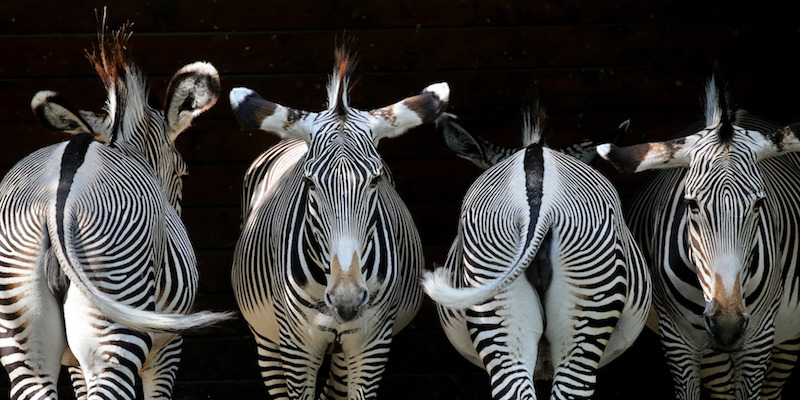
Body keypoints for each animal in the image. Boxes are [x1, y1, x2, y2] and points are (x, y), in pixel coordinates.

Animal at [0, 25, 231, 400]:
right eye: (183, 175)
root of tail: (57, 194)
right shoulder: (168, 349)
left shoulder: (74, 364)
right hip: (118, 317)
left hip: (20, 328)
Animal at [228, 48, 450, 398]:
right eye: (309, 182)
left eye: (375, 180)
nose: (348, 299)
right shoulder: (296, 345)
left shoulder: (372, 343)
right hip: (266, 339)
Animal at [596, 76, 800, 398]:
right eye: (692, 204)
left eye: (758, 203)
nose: (728, 327)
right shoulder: (677, 339)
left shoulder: (760, 337)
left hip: (786, 336)